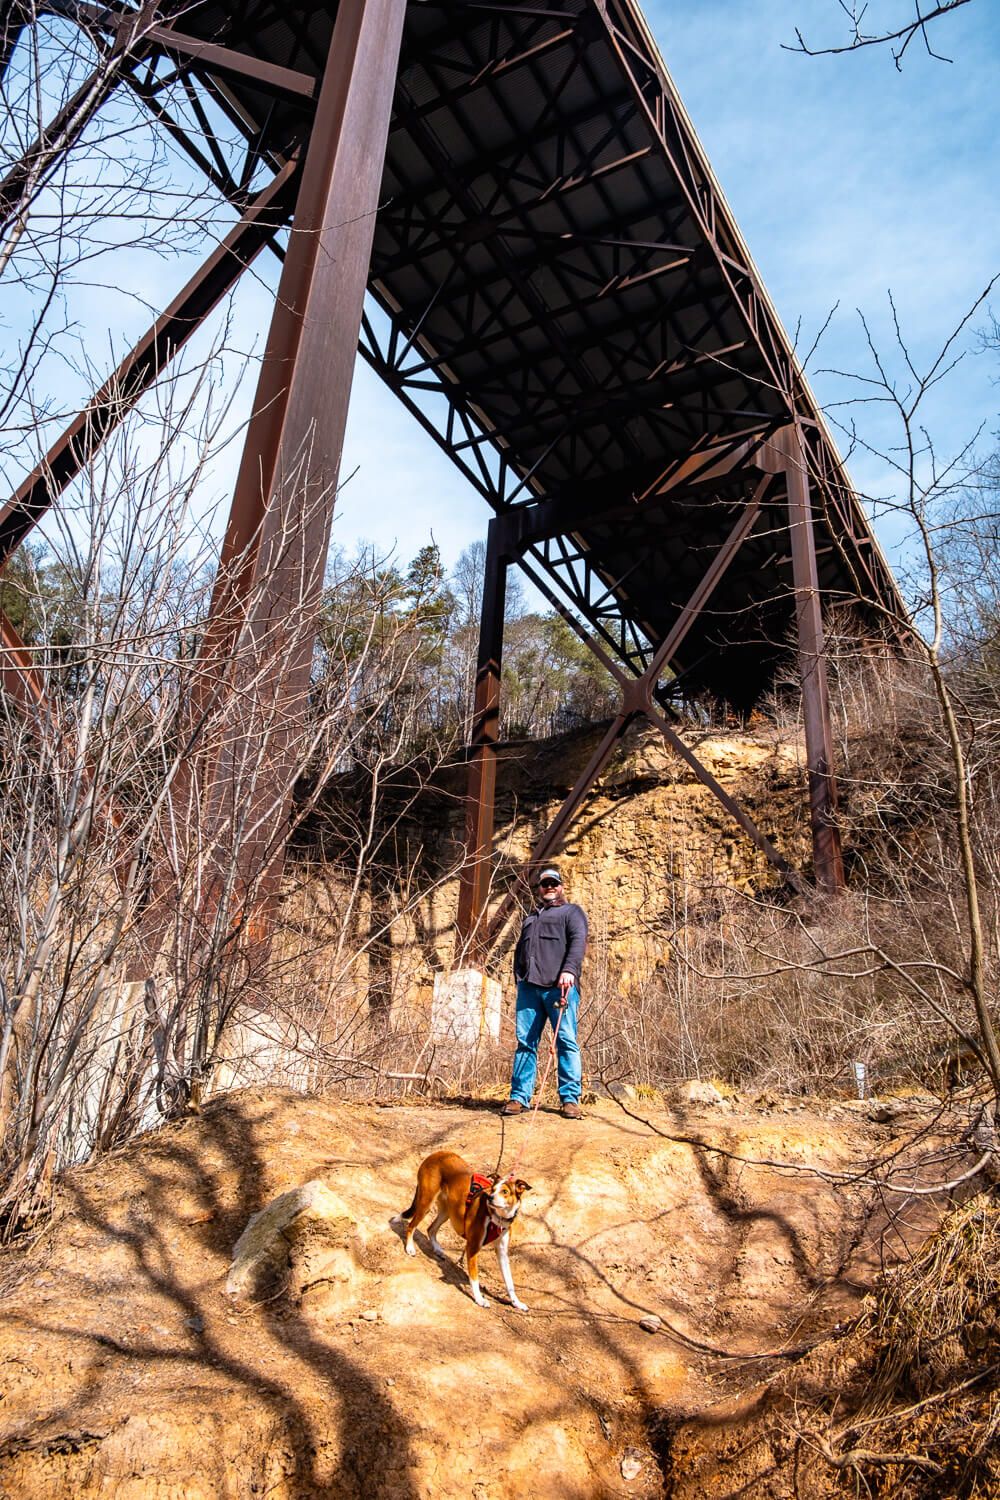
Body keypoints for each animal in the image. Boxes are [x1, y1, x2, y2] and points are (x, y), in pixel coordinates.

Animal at [392, 1152, 530, 1308]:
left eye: (505, 1191)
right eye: (493, 1190)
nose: (490, 1198)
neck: (497, 1218)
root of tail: (435, 1154)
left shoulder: (502, 1253)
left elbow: (509, 1283)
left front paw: (516, 1303)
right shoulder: (473, 1247)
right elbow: (474, 1278)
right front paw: (479, 1299)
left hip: (447, 1211)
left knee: (430, 1229)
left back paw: (437, 1249)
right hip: (426, 1203)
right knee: (411, 1225)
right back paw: (410, 1248)